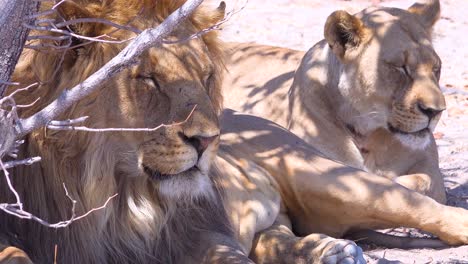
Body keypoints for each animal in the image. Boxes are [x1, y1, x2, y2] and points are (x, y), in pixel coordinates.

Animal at [221, 0, 468, 256]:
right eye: (400, 67)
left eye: (436, 68)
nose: (435, 111)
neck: (367, 132)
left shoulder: (430, 170)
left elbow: (419, 183)